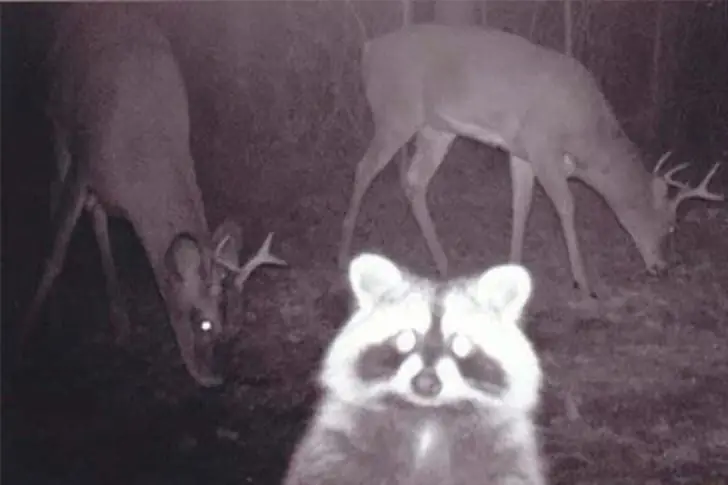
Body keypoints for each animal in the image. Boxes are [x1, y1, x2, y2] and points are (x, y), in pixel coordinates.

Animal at [282, 253, 546, 485]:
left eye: (459, 344)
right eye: (406, 339)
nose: (425, 383)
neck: (427, 414)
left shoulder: (506, 452)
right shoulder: (338, 442)